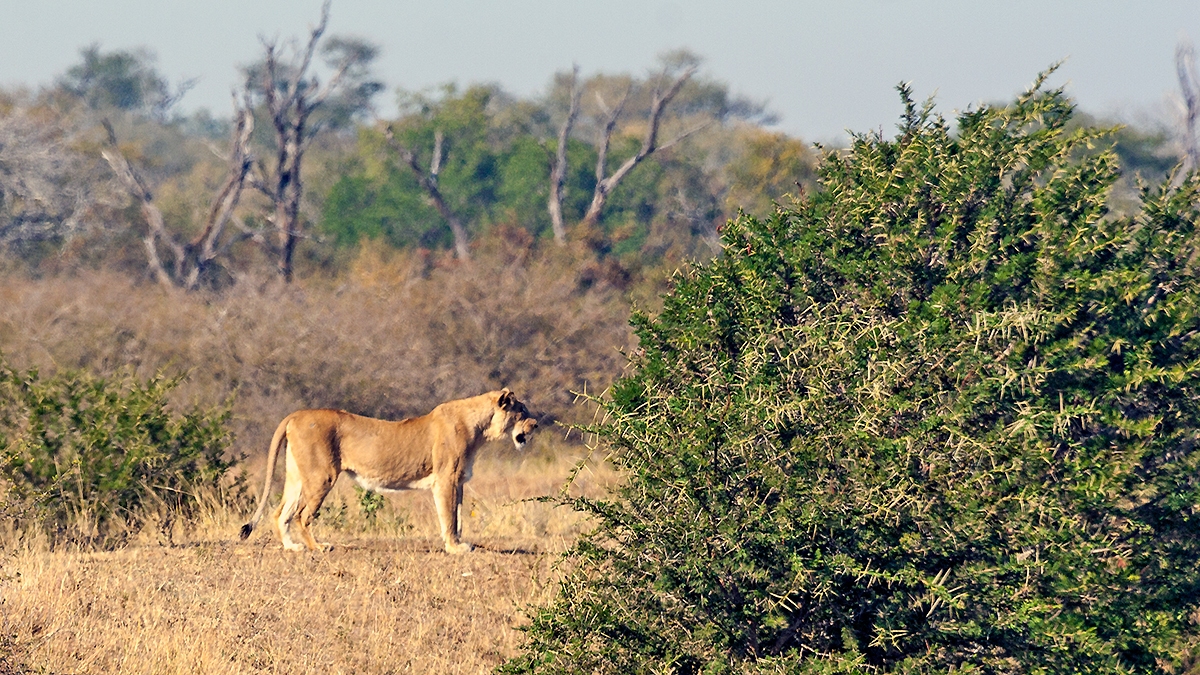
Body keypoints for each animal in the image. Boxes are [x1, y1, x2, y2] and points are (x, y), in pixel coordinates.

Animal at [239, 389, 538, 554]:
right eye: (522, 411)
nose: (536, 424)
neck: (480, 429)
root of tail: (297, 414)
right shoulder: (446, 479)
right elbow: (449, 517)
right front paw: (455, 548)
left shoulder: (460, 480)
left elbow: (459, 515)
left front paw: (459, 543)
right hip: (321, 475)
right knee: (302, 515)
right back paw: (318, 547)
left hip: (298, 476)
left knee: (281, 513)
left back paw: (292, 547)